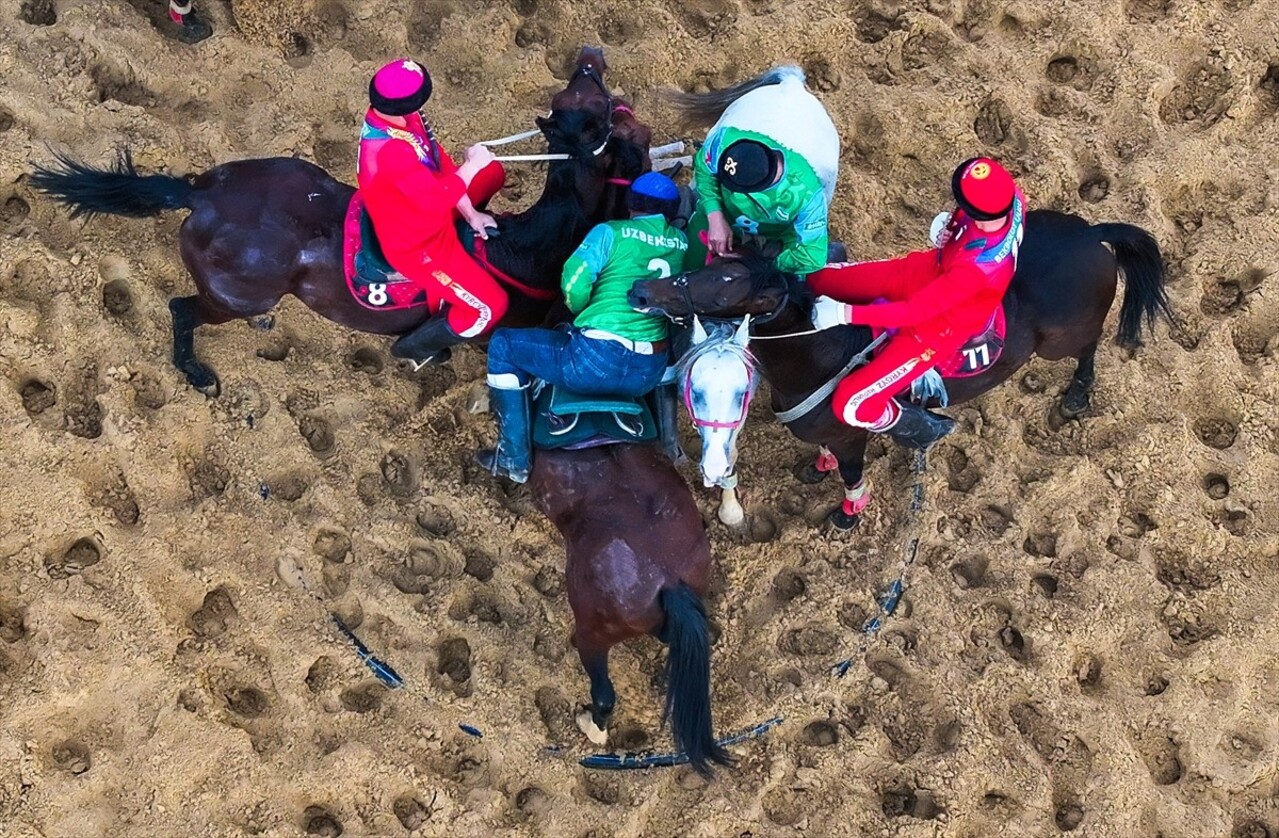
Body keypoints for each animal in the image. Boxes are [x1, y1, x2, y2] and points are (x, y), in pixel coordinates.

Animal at [30, 47, 649, 399]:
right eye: (591, 107)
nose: (590, 58)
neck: (522, 247)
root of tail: (201, 192)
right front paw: (423, 354)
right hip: (239, 296)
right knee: (183, 310)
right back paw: (196, 372)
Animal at [624, 213, 1171, 534]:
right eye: (709, 264)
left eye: (726, 283)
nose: (641, 292)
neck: (821, 352)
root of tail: (1090, 232)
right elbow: (822, 454)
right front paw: (815, 467)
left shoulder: (853, 435)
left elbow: (850, 475)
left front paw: (846, 517)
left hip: (1064, 339)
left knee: (1088, 349)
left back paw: (1076, 397)